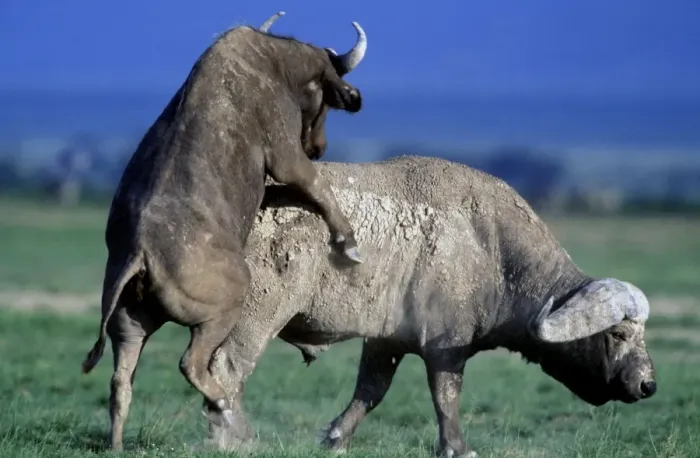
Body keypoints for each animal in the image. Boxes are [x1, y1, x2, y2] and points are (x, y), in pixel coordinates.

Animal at [81, 12, 368, 450]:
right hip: (222, 311)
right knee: (192, 364)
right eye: (323, 100)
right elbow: (317, 185)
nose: (318, 147)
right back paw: (224, 409)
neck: (272, 63)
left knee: (120, 383)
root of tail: (140, 253)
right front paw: (348, 243)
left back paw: (116, 444)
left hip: (128, 327)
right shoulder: (286, 157)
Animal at [207, 155, 657, 457]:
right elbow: (446, 394)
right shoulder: (445, 344)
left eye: (642, 334)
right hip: (259, 314)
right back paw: (233, 438)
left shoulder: (385, 341)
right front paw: (457, 446)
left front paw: (336, 437)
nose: (647, 385)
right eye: (618, 332)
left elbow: (371, 391)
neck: (493, 248)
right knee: (228, 368)